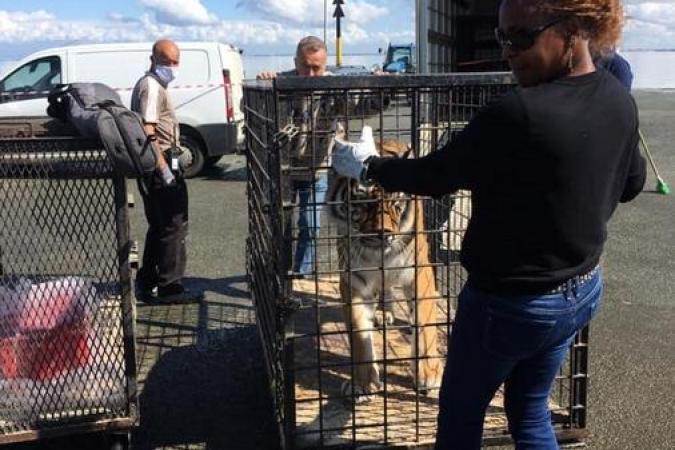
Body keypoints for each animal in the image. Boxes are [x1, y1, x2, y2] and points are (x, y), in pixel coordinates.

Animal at [328, 139, 444, 400]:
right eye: (363, 204)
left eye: (394, 203)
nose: (384, 234)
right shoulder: (353, 281)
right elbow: (359, 331)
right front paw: (363, 383)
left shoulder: (418, 272)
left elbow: (424, 324)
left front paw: (429, 374)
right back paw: (383, 312)